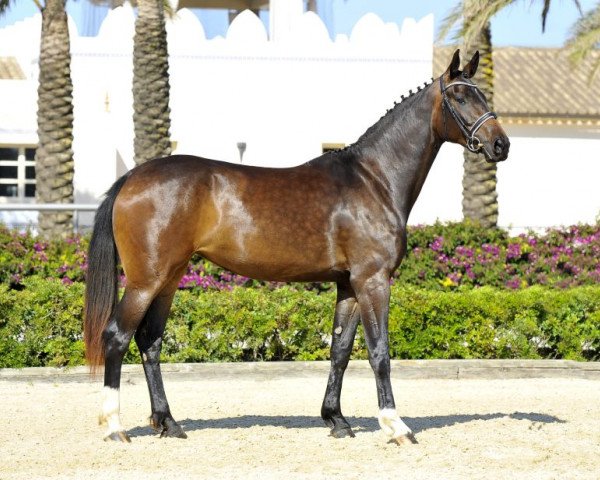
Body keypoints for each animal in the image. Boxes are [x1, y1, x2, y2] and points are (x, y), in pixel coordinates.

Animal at [83, 50, 506, 444]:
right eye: (461, 97)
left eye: (483, 94)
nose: (501, 144)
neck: (374, 179)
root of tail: (131, 178)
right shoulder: (373, 280)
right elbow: (379, 352)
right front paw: (395, 425)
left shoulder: (349, 285)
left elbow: (340, 350)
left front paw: (336, 420)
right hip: (146, 281)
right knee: (116, 336)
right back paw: (115, 427)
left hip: (169, 279)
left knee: (149, 342)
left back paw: (169, 423)